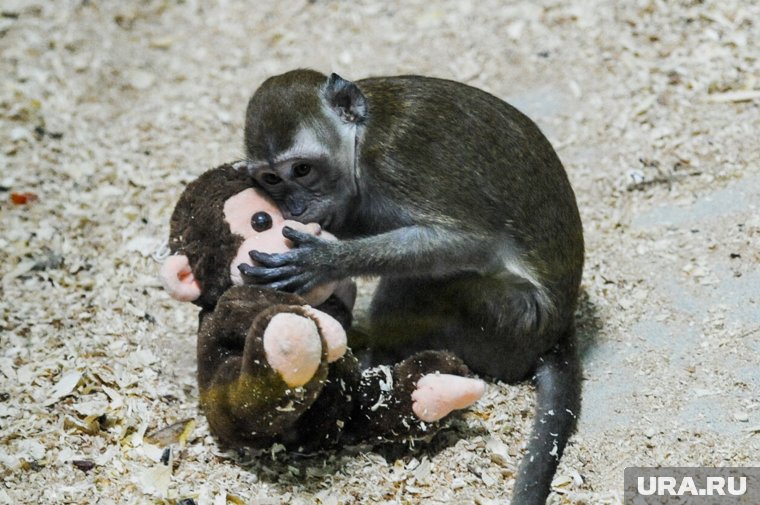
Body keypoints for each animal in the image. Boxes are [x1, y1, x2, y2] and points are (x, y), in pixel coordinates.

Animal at [240, 68, 584, 504]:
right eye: (271, 179)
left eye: (302, 170)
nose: (295, 207)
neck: (360, 138)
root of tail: (554, 331)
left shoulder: (393, 158)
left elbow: (470, 243)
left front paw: (323, 262)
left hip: (509, 321)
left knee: (420, 283)